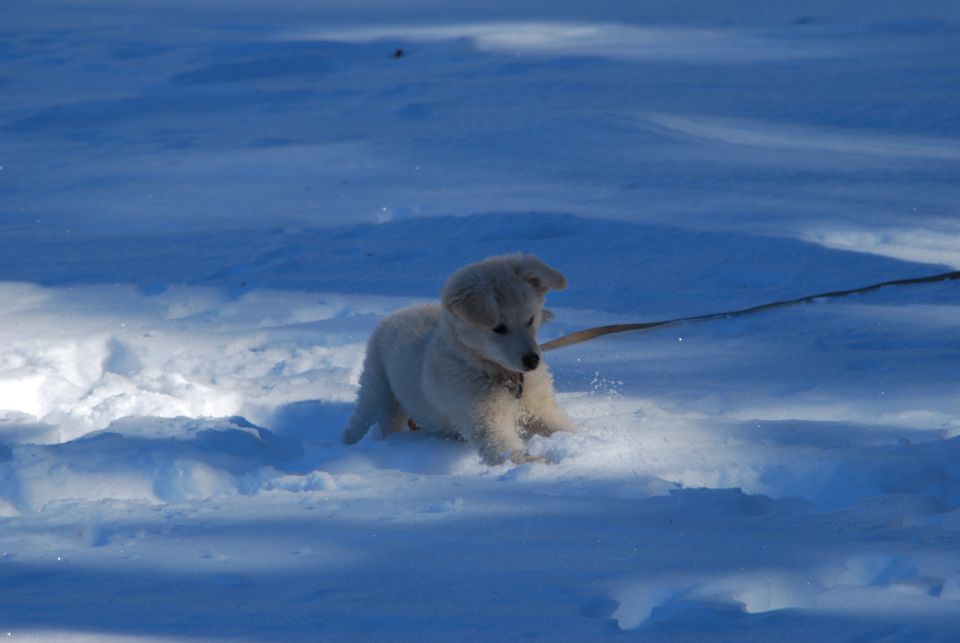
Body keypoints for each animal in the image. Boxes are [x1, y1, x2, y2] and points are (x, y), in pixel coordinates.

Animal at [344, 254, 572, 466]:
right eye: (499, 328)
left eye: (531, 320)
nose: (532, 360)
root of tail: (394, 314)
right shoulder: (486, 422)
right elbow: (507, 451)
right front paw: (541, 464)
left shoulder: (541, 409)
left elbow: (563, 427)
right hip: (378, 389)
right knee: (363, 420)